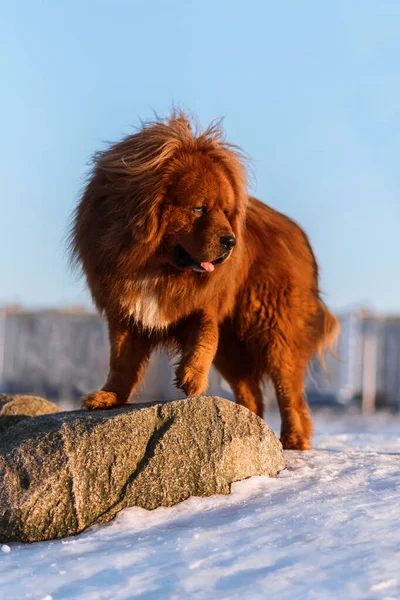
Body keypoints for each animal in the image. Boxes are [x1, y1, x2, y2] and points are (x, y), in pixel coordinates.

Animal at [70, 112, 340, 450]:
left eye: (225, 210)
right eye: (199, 208)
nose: (231, 241)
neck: (153, 267)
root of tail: (297, 234)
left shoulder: (202, 304)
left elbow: (204, 337)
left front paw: (192, 378)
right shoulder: (125, 312)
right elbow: (121, 361)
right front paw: (109, 396)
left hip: (274, 331)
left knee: (289, 391)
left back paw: (293, 439)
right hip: (234, 348)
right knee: (252, 394)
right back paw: (251, 428)